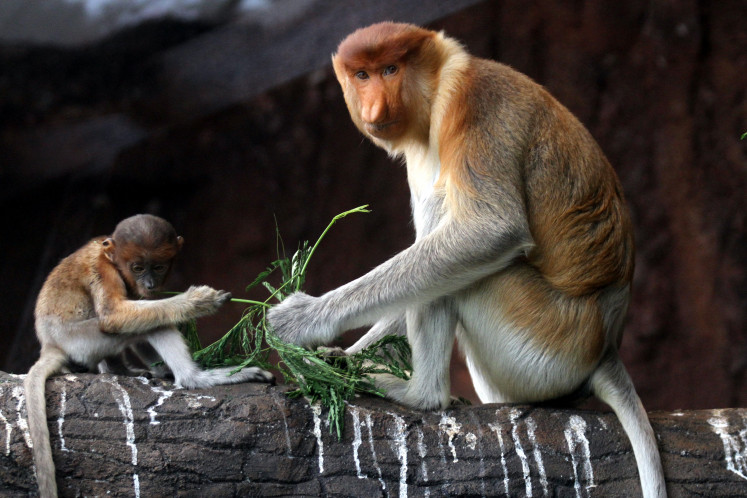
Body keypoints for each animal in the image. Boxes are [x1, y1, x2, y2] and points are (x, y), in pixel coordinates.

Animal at [24, 214, 273, 498]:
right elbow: (114, 316)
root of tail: (51, 343)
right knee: (149, 324)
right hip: (80, 340)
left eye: (159, 267)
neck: (111, 255)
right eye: (138, 268)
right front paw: (198, 302)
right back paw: (194, 378)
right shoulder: (104, 270)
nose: (150, 284)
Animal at [267, 22, 666, 497]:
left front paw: (301, 320)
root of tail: (605, 348)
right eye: (362, 75)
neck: (438, 86)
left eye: (390, 69)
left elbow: (490, 229)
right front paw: (337, 358)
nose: (374, 105)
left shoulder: (474, 104)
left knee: (456, 241)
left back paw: (418, 395)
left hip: (543, 338)